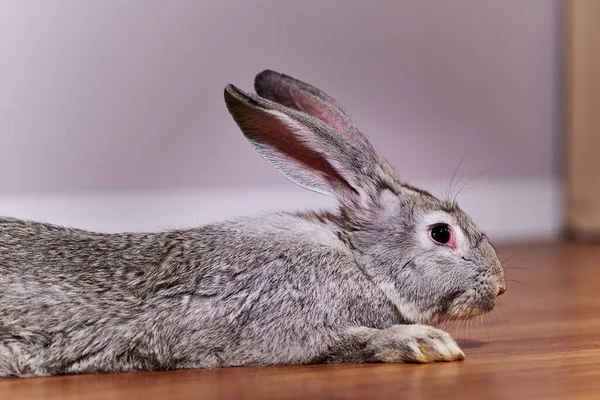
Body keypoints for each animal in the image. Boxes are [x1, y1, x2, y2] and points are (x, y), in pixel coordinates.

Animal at [0, 70, 506, 376]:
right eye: (441, 233)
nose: (499, 286)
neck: (362, 264)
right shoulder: (294, 328)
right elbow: (350, 342)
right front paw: (427, 343)